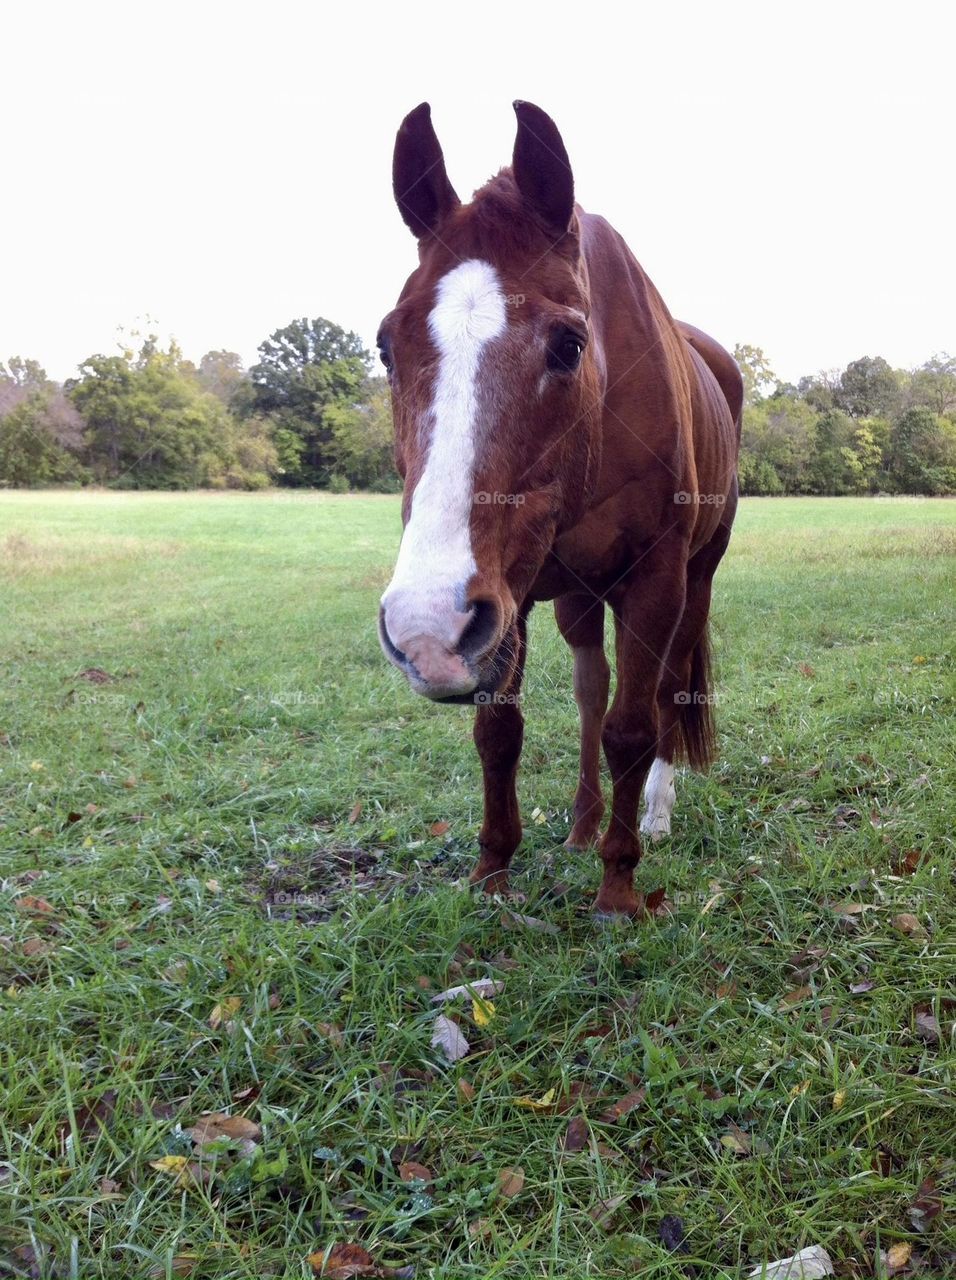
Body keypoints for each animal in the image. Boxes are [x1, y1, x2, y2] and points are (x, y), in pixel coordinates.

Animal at [373, 102, 742, 921]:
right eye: (385, 346)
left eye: (569, 345)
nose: (425, 630)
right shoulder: (507, 597)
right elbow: (501, 730)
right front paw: (492, 870)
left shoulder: (655, 581)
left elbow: (634, 726)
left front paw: (619, 886)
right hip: (571, 595)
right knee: (588, 691)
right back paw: (580, 824)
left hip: (696, 579)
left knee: (667, 690)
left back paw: (652, 814)